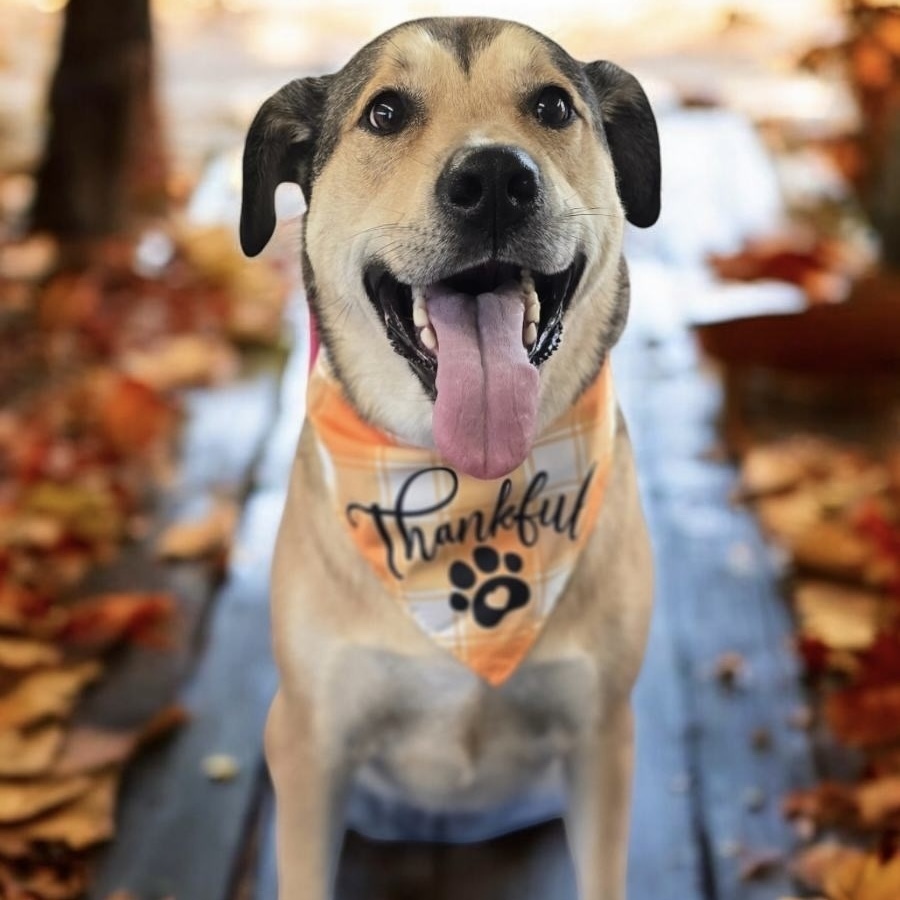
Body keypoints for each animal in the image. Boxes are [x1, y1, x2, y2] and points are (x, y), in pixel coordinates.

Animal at [239, 15, 660, 900]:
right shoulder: (313, 747)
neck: (465, 485)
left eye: (553, 106)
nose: (495, 178)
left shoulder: (602, 739)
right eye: (386, 113)